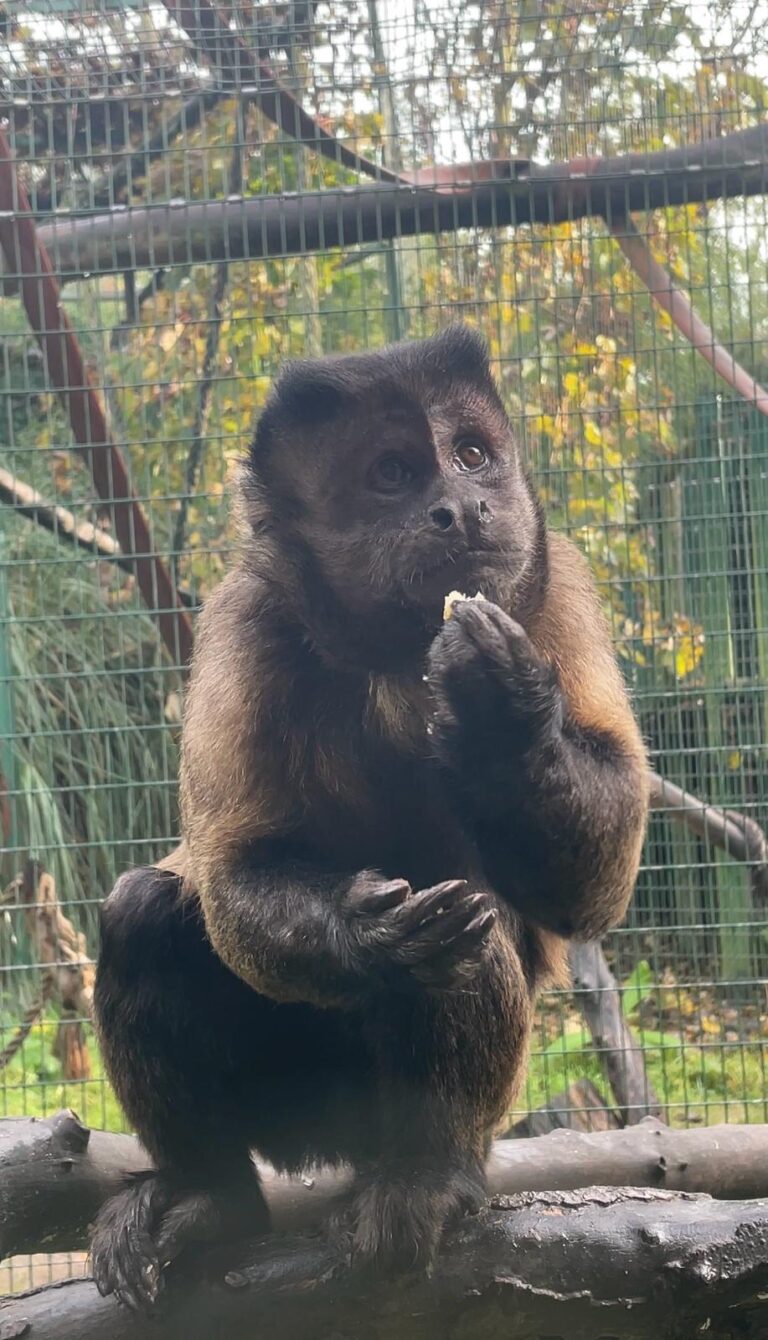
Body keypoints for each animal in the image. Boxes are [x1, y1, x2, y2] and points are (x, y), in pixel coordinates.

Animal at [90, 325, 649, 1310]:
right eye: (392, 473)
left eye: (471, 455)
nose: (462, 507)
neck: (396, 658)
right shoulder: (245, 618)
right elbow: (229, 877)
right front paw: (367, 931)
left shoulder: (557, 584)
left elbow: (593, 887)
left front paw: (502, 721)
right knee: (143, 913)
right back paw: (211, 1196)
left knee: (471, 934)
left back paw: (428, 1173)